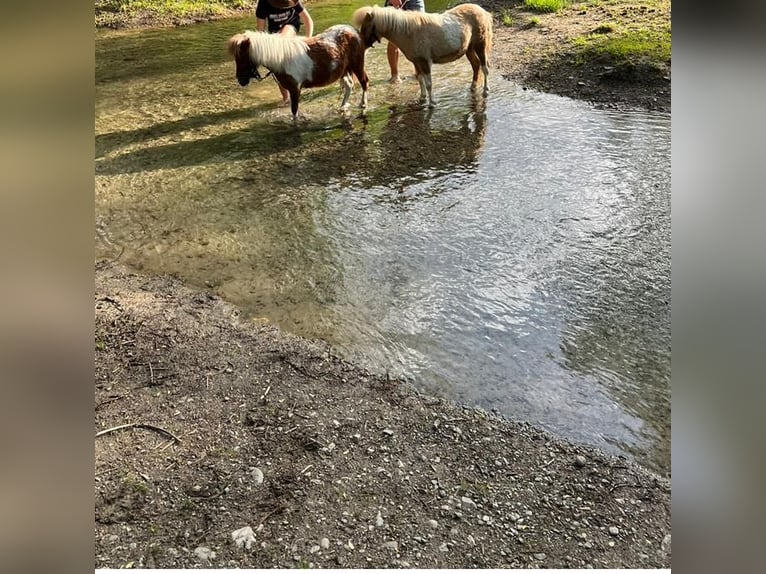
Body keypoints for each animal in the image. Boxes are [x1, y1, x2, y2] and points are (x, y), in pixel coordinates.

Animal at [226, 24, 370, 119]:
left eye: (241, 58)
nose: (241, 80)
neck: (282, 59)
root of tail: (353, 30)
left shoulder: (295, 89)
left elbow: (294, 112)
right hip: (344, 71)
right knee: (349, 85)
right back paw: (343, 106)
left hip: (357, 66)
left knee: (364, 82)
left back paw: (363, 104)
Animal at [352, 4, 496, 107]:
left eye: (365, 27)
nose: (360, 44)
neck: (410, 32)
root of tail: (482, 11)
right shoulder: (417, 62)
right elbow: (420, 80)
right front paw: (422, 98)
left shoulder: (425, 62)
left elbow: (429, 84)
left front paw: (432, 103)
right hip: (469, 49)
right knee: (476, 66)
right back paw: (473, 87)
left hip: (480, 46)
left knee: (485, 68)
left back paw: (486, 90)